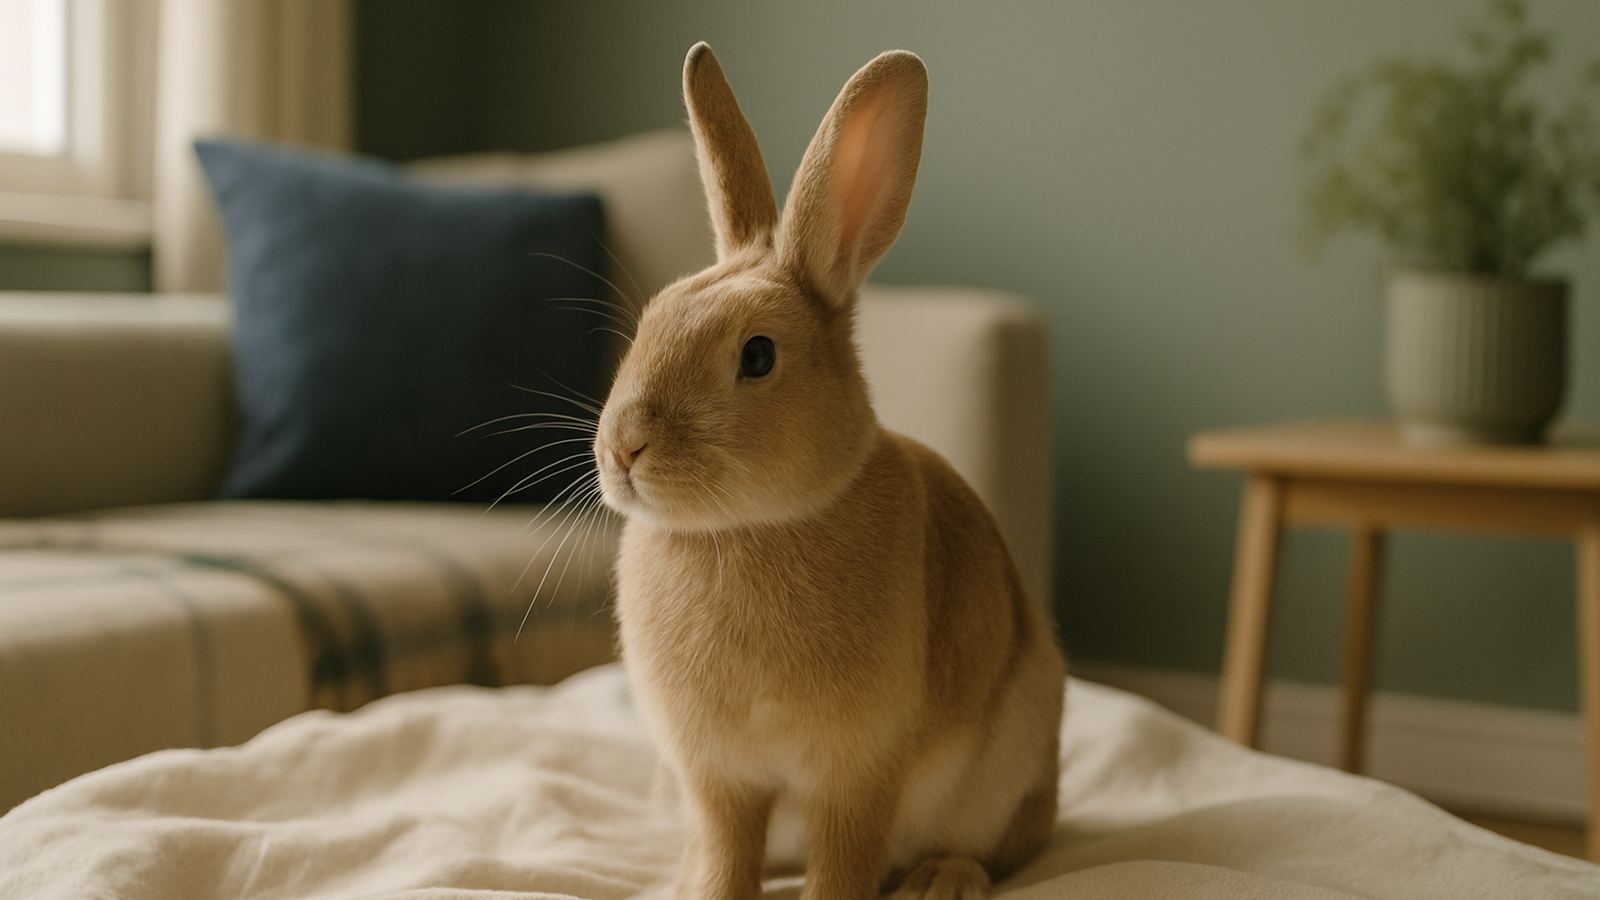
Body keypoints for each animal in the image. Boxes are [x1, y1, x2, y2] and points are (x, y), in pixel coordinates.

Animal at [595, 42, 1066, 900]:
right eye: (650, 322)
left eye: (757, 356)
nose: (624, 448)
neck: (746, 529)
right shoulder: (720, 780)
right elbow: (727, 854)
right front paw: (705, 889)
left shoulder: (858, 772)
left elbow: (845, 860)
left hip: (1011, 763)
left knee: (1003, 847)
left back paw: (942, 880)